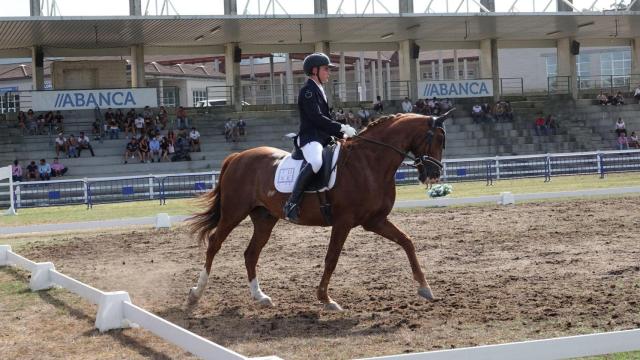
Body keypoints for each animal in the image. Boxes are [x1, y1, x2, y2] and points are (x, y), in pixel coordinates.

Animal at [189, 111, 450, 310]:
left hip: (265, 218)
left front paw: (425, 287)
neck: (369, 162)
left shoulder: (375, 220)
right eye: (436, 139)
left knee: (251, 253)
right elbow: (331, 258)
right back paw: (196, 292)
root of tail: (237, 156)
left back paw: (260, 296)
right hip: (233, 212)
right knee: (214, 244)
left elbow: (407, 241)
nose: (434, 175)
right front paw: (326, 299)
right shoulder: (344, 222)